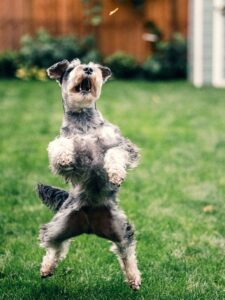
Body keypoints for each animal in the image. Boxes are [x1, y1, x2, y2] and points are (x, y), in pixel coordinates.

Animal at [37, 58, 142, 290]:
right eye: (71, 68)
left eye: (92, 66)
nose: (87, 69)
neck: (84, 123)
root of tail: (89, 226)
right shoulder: (72, 153)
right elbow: (59, 146)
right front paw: (64, 156)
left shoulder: (123, 146)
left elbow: (114, 153)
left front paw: (115, 174)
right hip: (59, 225)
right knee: (54, 246)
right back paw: (46, 268)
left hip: (120, 229)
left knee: (126, 252)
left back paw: (134, 278)